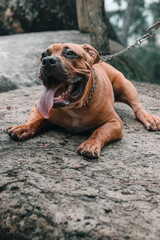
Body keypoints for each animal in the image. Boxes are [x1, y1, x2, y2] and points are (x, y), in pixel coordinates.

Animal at [7, 43, 160, 158]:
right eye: (44, 54)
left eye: (70, 53)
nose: (47, 61)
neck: (75, 107)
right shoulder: (38, 107)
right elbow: (35, 120)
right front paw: (23, 128)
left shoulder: (114, 122)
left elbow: (99, 131)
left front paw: (90, 145)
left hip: (125, 85)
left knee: (137, 107)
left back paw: (150, 119)